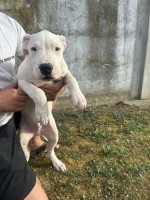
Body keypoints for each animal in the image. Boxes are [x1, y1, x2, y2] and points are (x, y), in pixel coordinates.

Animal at [17, 30, 86, 172]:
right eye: (33, 49)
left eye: (57, 49)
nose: (46, 67)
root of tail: (37, 131)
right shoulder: (21, 82)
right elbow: (38, 92)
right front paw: (42, 113)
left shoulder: (63, 72)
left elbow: (72, 78)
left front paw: (79, 98)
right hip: (22, 139)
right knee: (26, 153)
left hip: (54, 134)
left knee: (50, 150)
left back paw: (57, 163)